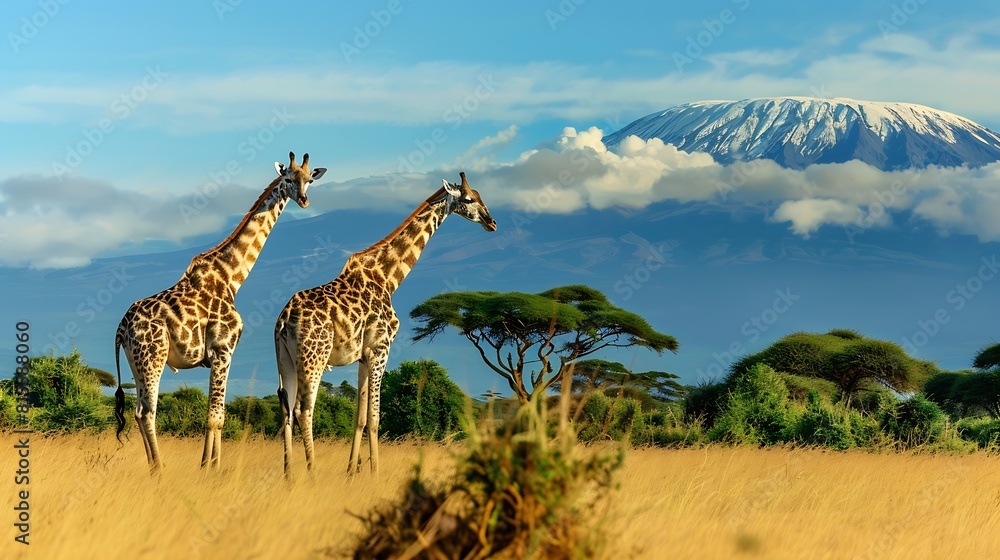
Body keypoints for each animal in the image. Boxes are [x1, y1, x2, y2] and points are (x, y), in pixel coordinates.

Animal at [113, 152, 326, 472]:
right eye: (288, 178)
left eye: (309, 180)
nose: (303, 200)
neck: (232, 277)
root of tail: (121, 329)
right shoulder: (223, 349)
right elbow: (216, 417)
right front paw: (209, 468)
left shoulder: (219, 354)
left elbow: (219, 415)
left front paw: (210, 465)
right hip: (153, 357)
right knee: (148, 412)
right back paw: (160, 470)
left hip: (136, 362)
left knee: (138, 411)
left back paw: (153, 467)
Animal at [274, 172, 496, 477]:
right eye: (469, 198)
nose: (491, 222)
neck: (388, 277)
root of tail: (284, 319)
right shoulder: (381, 348)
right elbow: (375, 416)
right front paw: (374, 472)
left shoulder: (363, 355)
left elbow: (360, 416)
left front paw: (352, 472)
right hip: (314, 358)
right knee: (304, 411)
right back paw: (312, 472)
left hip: (285, 360)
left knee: (286, 409)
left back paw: (289, 476)